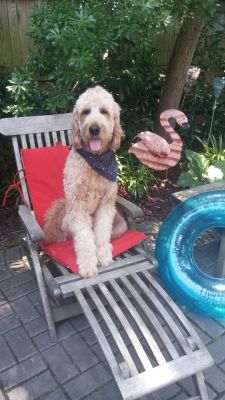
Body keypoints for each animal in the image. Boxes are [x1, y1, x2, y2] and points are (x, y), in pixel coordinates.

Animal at [43, 85, 127, 276]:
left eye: (104, 111)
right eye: (86, 112)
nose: (94, 129)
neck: (95, 161)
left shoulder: (106, 206)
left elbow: (102, 232)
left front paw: (103, 254)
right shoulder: (78, 208)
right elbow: (84, 239)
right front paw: (88, 265)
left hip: (119, 223)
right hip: (69, 217)